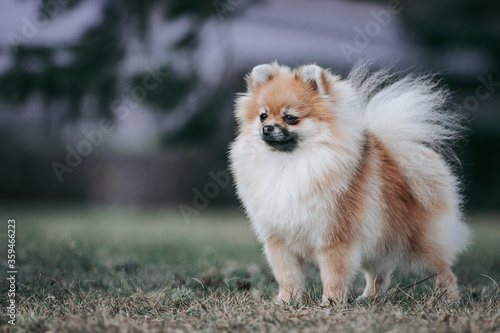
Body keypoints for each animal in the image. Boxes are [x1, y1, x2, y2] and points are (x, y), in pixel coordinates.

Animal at [229, 61, 470, 304]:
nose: (266, 128)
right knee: (379, 272)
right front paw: (286, 301)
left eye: (290, 118)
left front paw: (330, 302)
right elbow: (286, 275)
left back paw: (448, 297)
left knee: (442, 269)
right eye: (263, 115)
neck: (290, 163)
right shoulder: (278, 239)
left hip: (418, 244)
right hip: (378, 239)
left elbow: (333, 274)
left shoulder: (335, 236)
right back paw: (370, 297)